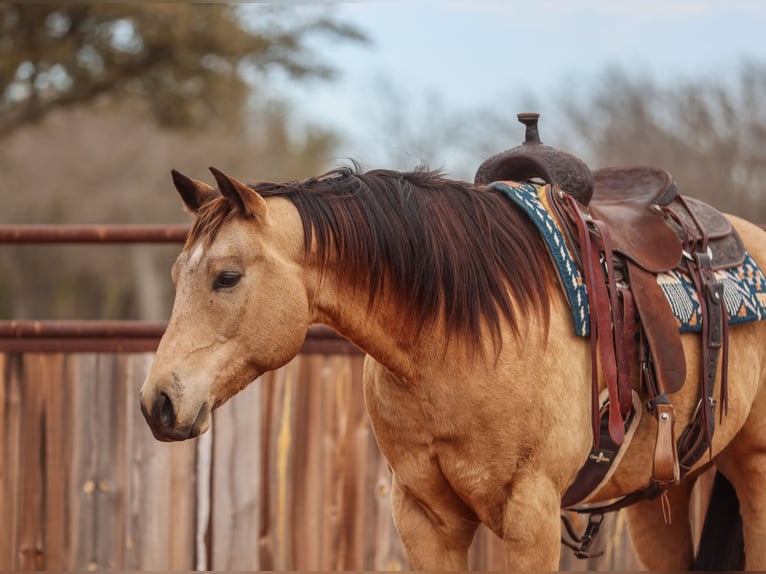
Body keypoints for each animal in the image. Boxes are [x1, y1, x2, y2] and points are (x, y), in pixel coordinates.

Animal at [139, 164, 766, 570]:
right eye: (174, 276)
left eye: (227, 277)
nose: (157, 403)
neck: (454, 342)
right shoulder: (425, 518)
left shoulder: (531, 517)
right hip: (661, 495)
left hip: (754, 471)